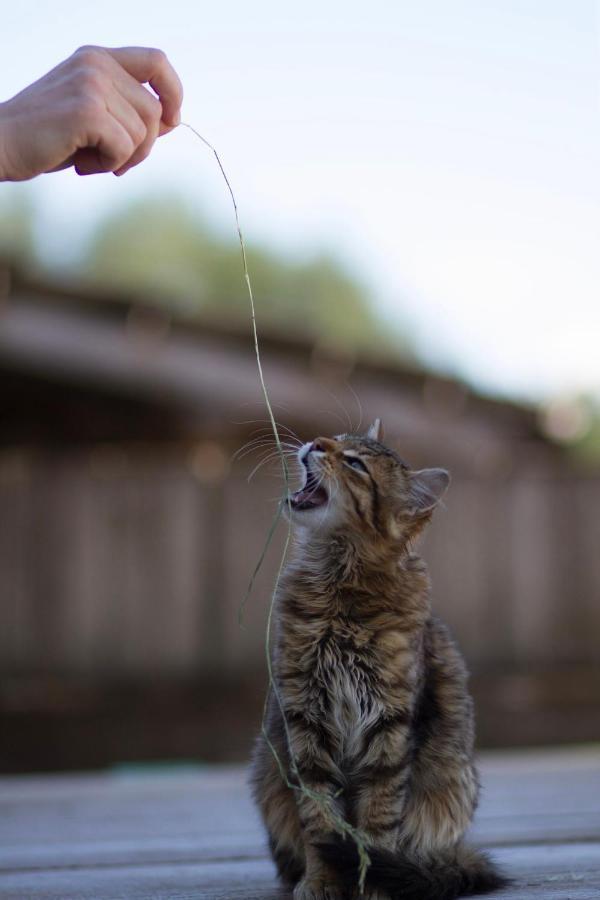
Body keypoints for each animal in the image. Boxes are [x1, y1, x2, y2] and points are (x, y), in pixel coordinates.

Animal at [251, 422, 508, 900]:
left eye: (355, 464)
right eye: (335, 438)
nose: (316, 443)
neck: (339, 587)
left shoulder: (390, 724)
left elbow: (377, 817)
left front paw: (372, 881)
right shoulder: (305, 719)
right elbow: (320, 819)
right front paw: (324, 879)